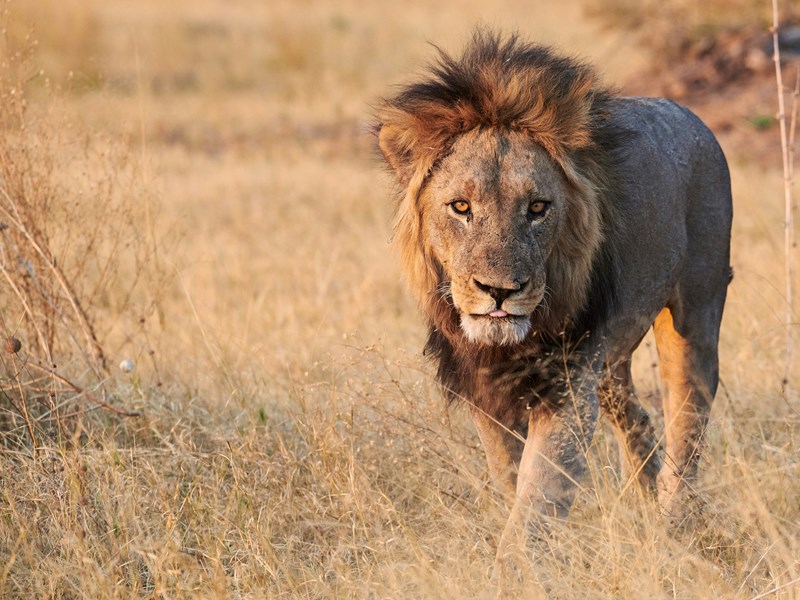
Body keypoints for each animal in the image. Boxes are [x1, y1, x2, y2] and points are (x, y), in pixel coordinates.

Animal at [376, 31, 732, 561]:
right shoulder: (486, 388)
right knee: (636, 417)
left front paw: (516, 565)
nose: (499, 291)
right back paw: (644, 504)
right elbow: (508, 476)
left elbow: (538, 494)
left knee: (689, 413)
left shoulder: (567, 387)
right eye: (460, 207)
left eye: (538, 208)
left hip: (695, 311)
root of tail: (692, 115)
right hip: (609, 363)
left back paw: (671, 523)